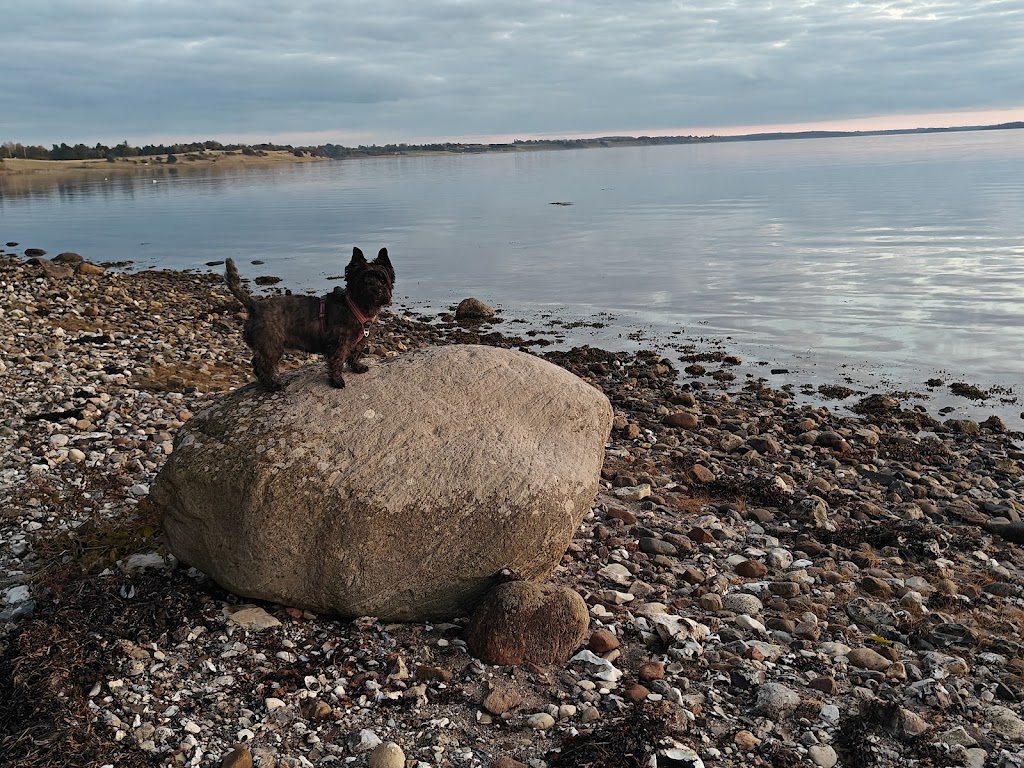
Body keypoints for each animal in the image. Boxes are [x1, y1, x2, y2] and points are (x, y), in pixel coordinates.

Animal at [226, 247, 393, 391]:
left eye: (382, 279)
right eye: (364, 280)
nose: (377, 291)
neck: (355, 306)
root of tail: (256, 306)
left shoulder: (359, 341)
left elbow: (355, 354)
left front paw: (357, 367)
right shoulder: (338, 344)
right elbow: (337, 361)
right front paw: (337, 380)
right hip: (271, 345)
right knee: (263, 364)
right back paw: (272, 385)